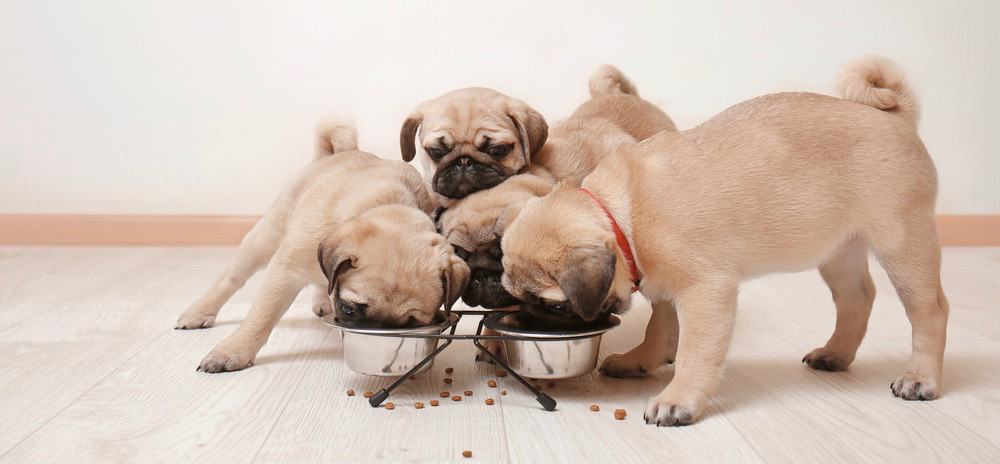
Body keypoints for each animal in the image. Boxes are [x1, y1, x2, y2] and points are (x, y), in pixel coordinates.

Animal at [175, 118, 468, 374]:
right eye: (348, 309)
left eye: (414, 323)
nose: (380, 331)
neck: (387, 205)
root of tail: (334, 154)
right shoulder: (284, 272)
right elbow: (262, 315)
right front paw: (233, 352)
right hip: (267, 235)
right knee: (232, 278)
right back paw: (198, 313)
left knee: (321, 279)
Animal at [504, 56, 948, 426]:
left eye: (553, 305)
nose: (529, 317)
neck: (618, 214)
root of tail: (896, 117)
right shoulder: (666, 286)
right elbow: (660, 327)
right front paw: (642, 360)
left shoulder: (705, 291)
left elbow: (693, 352)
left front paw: (679, 399)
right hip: (839, 251)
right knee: (857, 297)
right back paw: (835, 353)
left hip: (902, 242)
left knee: (930, 310)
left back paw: (920, 378)